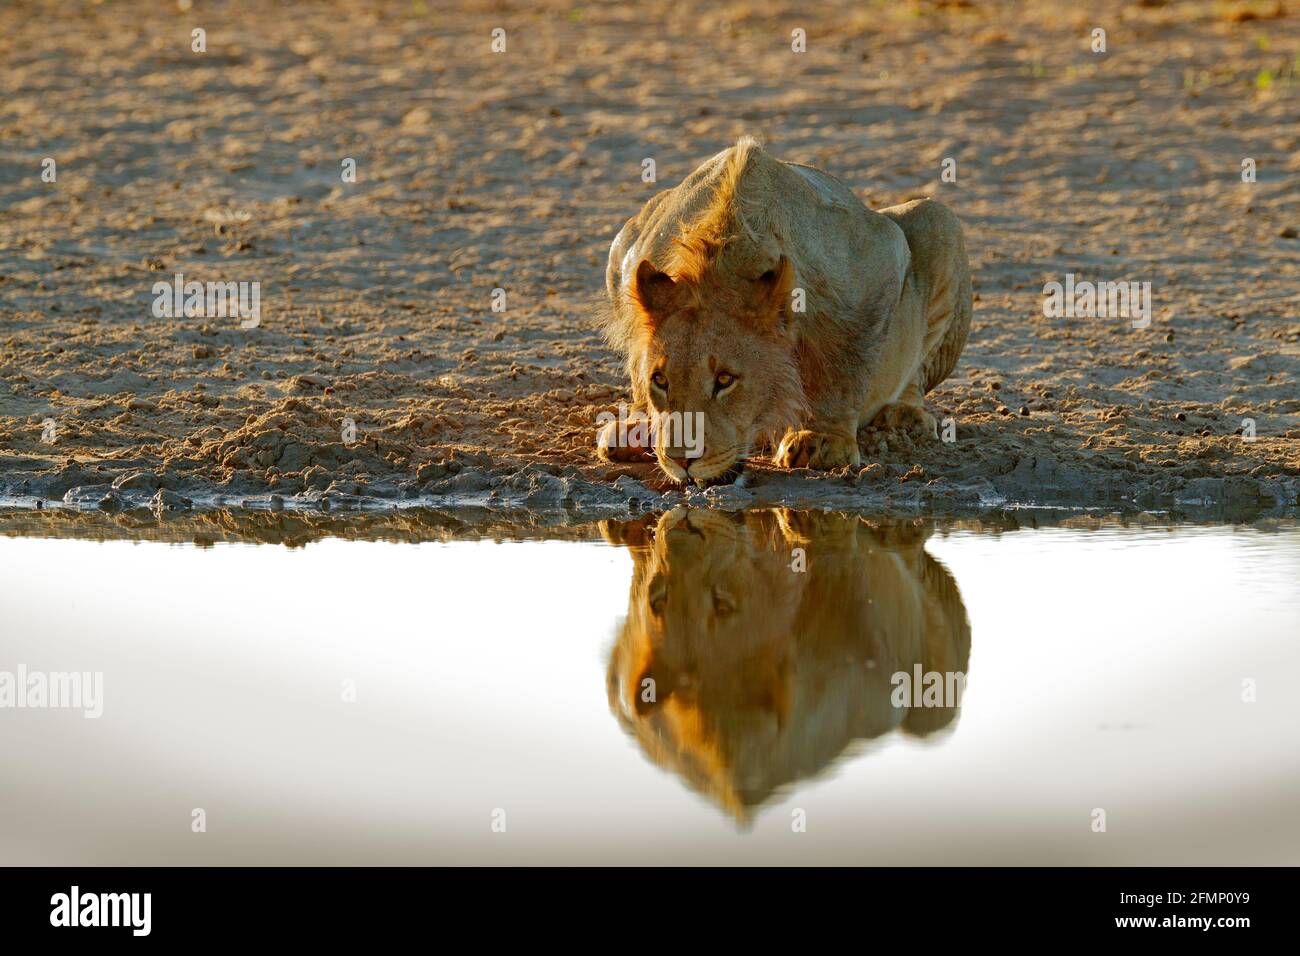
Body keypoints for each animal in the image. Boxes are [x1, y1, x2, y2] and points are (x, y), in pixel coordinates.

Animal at [598, 137, 972, 486]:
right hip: (624, 238)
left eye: (725, 379)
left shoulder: (878, 262)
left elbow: (847, 367)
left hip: (938, 220)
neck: (716, 259)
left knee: (916, 370)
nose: (680, 460)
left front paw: (821, 439)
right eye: (660, 380)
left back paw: (904, 418)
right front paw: (639, 422)